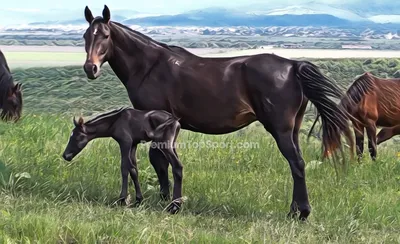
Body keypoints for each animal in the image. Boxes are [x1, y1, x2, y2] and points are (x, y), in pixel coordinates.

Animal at [80, 4, 354, 221]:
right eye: (85, 35)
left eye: (105, 35)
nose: (90, 68)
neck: (149, 66)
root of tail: (293, 66)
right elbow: (161, 163)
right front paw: (165, 199)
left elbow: (158, 162)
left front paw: (166, 200)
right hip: (293, 129)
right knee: (298, 164)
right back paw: (296, 210)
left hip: (281, 129)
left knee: (296, 164)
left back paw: (300, 213)